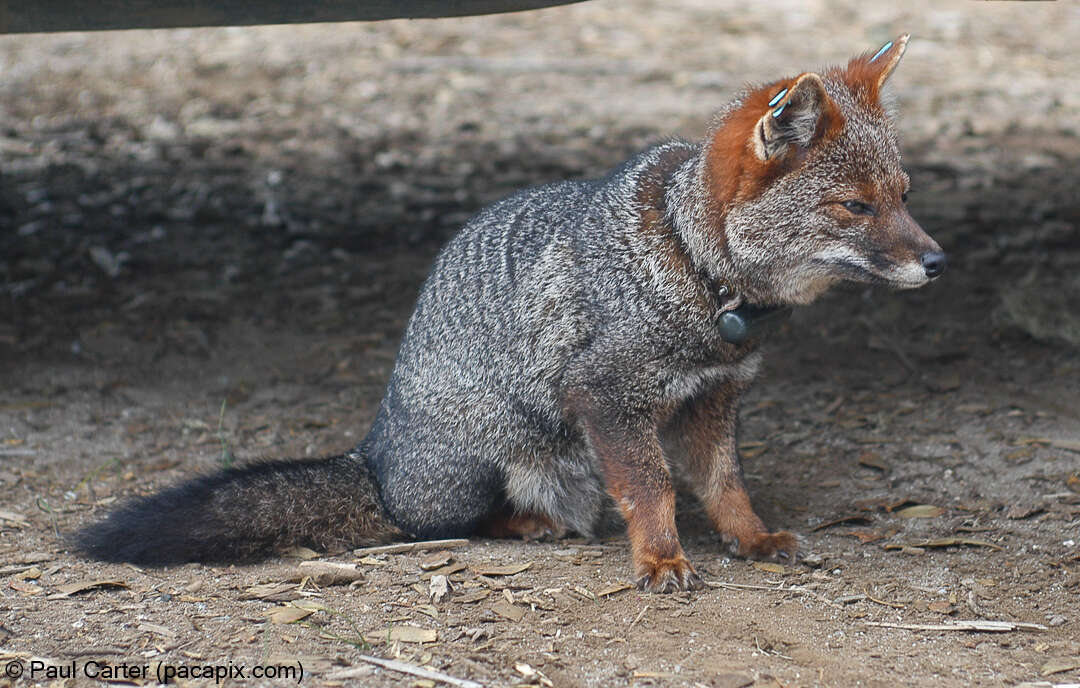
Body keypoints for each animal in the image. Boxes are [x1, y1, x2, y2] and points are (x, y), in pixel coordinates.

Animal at [73, 34, 946, 591]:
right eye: (855, 207)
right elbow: (654, 488)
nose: (937, 262)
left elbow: (723, 482)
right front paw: (660, 559)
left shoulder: (715, 398)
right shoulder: (605, 396)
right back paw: (528, 526)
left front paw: (751, 539)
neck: (697, 271)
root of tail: (374, 454)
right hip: (503, 458)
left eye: (904, 196)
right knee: (432, 525)